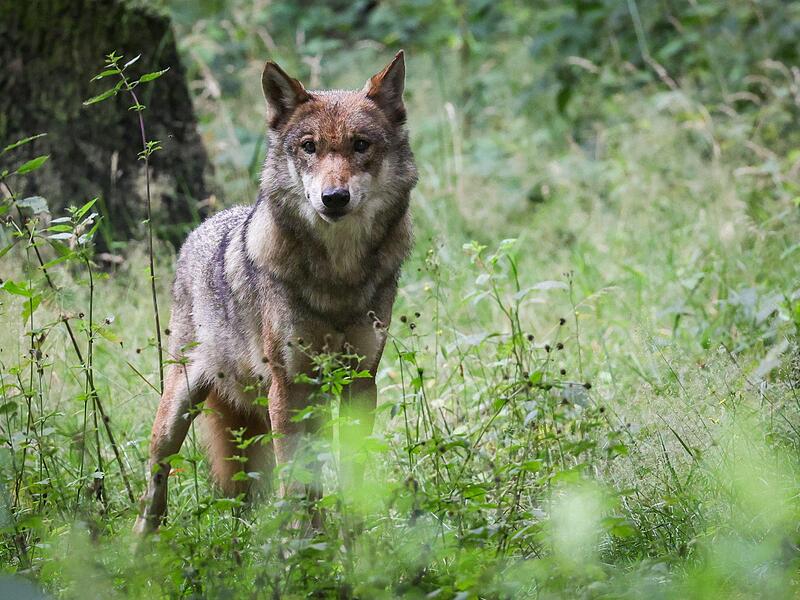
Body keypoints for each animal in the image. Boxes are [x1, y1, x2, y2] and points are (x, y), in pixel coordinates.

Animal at [133, 51, 417, 534]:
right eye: (309, 147)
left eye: (361, 145)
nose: (334, 197)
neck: (337, 276)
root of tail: (201, 228)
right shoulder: (288, 385)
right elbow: (295, 479)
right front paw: (301, 544)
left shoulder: (361, 382)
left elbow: (351, 472)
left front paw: (353, 539)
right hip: (178, 409)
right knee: (155, 480)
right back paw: (141, 543)